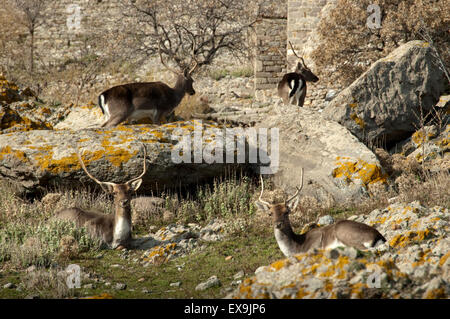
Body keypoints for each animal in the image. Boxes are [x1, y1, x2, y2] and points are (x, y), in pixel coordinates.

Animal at [256, 170, 386, 258]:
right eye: (270, 213)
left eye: (286, 212)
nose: (278, 224)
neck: (297, 247)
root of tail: (378, 237)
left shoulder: (314, 245)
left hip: (345, 234)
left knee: (367, 250)